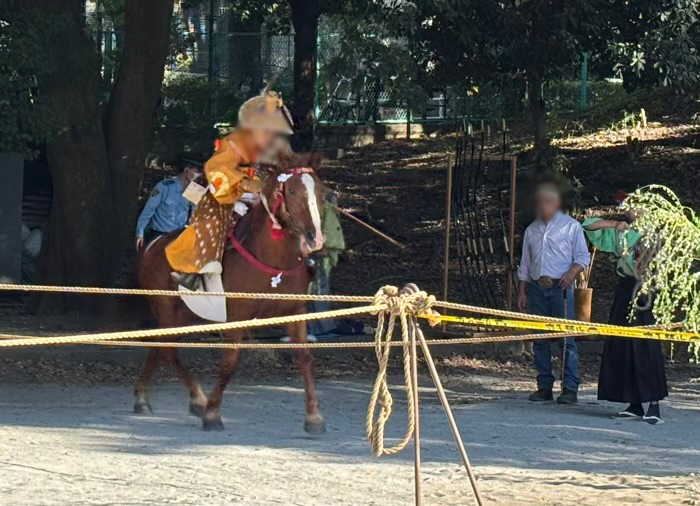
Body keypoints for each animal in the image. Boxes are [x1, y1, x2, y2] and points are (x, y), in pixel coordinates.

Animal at [135, 152, 326, 433]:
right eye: (291, 190)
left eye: (321, 192)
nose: (316, 238)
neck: (272, 258)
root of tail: (152, 245)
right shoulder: (238, 314)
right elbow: (230, 361)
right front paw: (213, 413)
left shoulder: (295, 311)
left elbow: (305, 358)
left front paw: (313, 417)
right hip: (166, 306)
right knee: (167, 350)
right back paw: (197, 400)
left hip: (186, 314)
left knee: (159, 346)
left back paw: (145, 397)